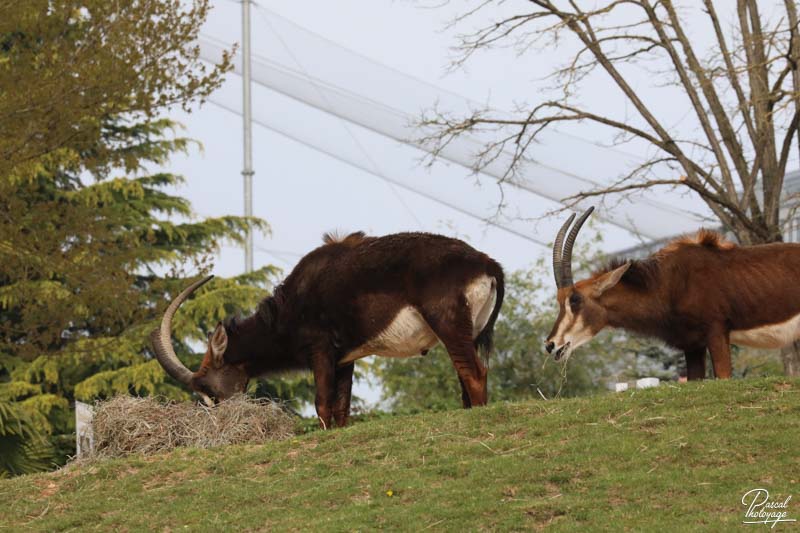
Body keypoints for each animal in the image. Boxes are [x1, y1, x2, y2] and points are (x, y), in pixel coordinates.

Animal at [151, 231, 504, 426]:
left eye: (210, 390)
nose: (220, 419)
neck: (288, 306)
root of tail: (488, 263)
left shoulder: (320, 351)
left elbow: (322, 404)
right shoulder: (345, 360)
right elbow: (341, 407)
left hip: (448, 326)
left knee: (475, 373)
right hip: (468, 333)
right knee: (465, 376)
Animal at [548, 207, 800, 378]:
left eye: (576, 299)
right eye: (559, 300)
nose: (551, 345)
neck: (669, 284)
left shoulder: (717, 332)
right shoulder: (693, 345)